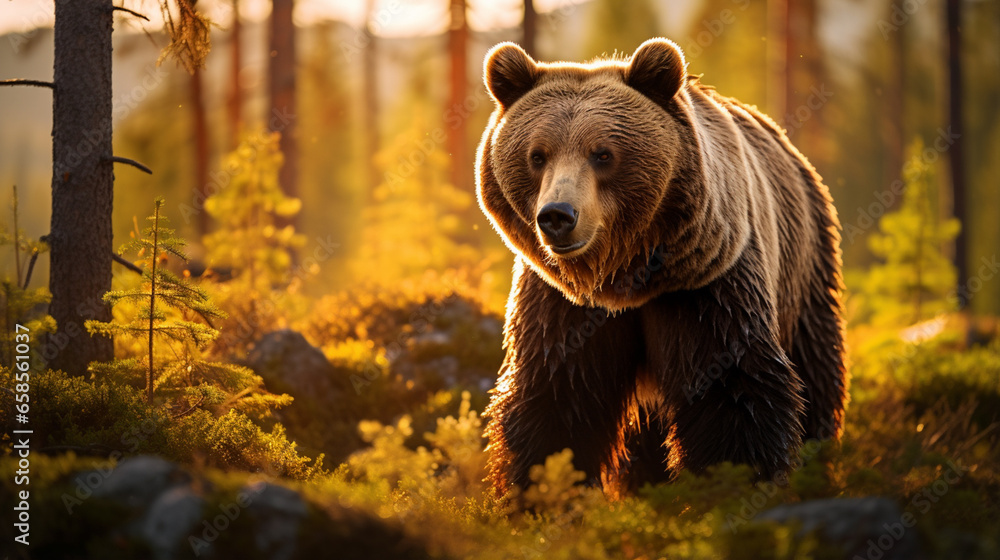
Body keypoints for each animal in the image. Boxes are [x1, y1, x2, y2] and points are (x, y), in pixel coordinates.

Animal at [475, 38, 848, 496]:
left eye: (603, 154)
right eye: (537, 155)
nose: (558, 215)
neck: (621, 278)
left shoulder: (705, 285)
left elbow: (732, 388)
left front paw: (736, 482)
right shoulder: (564, 305)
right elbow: (556, 394)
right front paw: (540, 492)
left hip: (804, 262)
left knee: (815, 367)